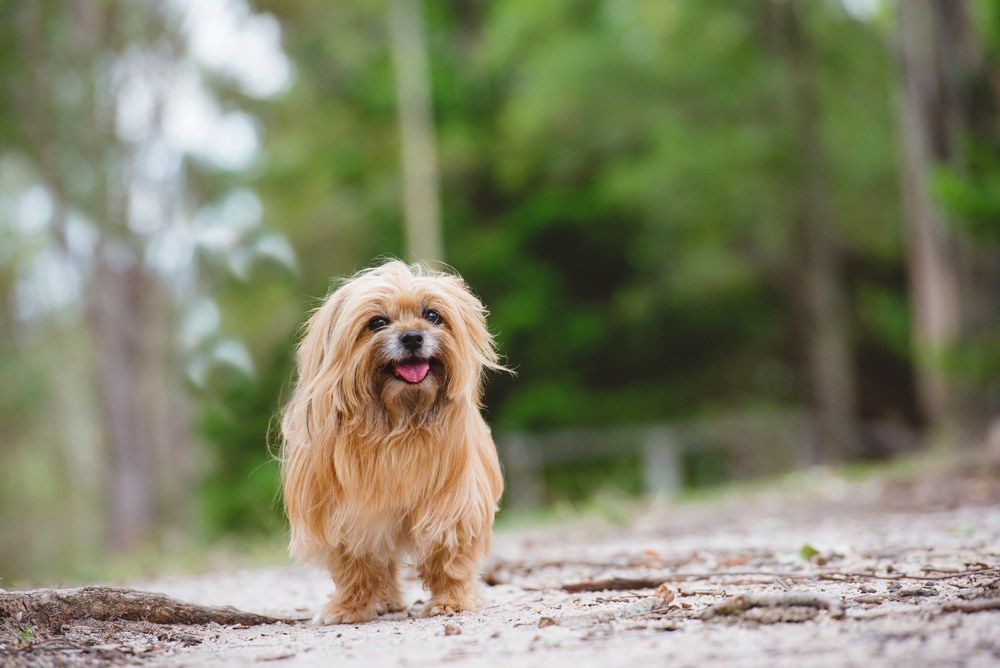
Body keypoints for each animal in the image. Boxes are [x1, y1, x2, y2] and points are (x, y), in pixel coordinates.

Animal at [280, 260, 504, 620]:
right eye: (377, 322)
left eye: (432, 315)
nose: (412, 336)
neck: (398, 422)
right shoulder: (344, 513)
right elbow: (355, 563)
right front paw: (349, 606)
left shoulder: (452, 503)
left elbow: (449, 555)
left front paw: (450, 601)